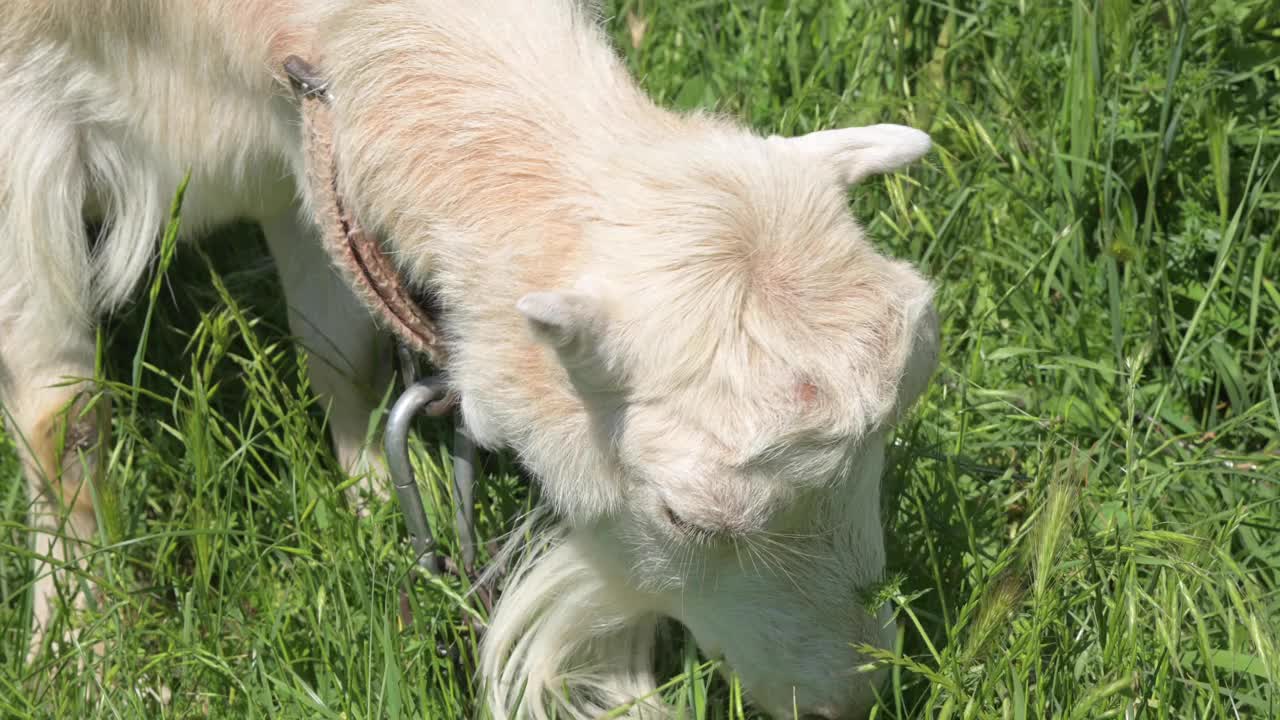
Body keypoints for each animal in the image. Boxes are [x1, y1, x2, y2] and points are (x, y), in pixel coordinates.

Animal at [0, 2, 942, 712]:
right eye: (685, 518)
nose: (855, 693)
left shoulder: (295, 135)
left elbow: (341, 352)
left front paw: (372, 506)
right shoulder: (24, 127)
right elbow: (62, 420)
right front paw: (84, 651)